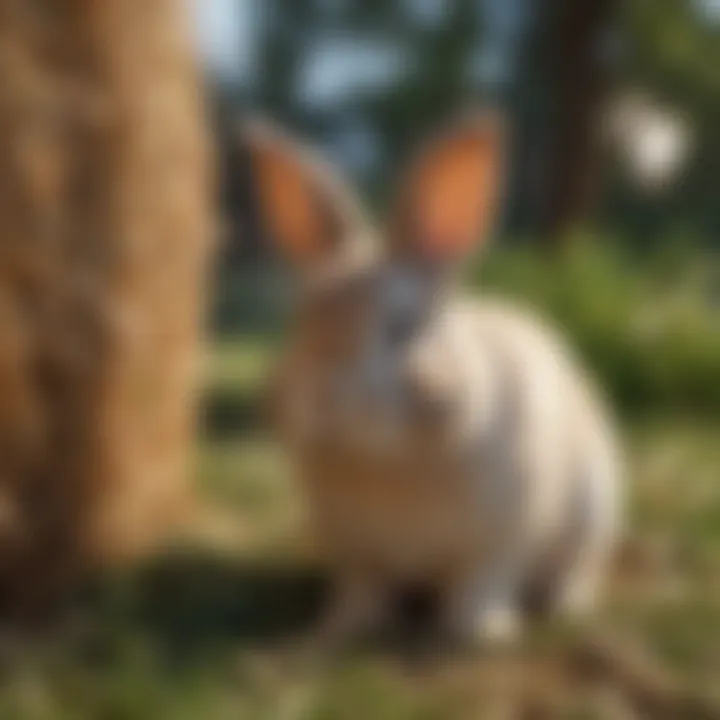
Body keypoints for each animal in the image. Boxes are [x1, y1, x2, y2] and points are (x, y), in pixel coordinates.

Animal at [243, 112, 624, 648]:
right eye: (301, 321)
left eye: (403, 325)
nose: (322, 398)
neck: (389, 463)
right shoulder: (357, 553)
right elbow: (361, 589)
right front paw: (343, 628)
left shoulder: (501, 539)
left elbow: (482, 584)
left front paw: (482, 634)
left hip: (594, 513)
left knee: (578, 568)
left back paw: (567, 605)